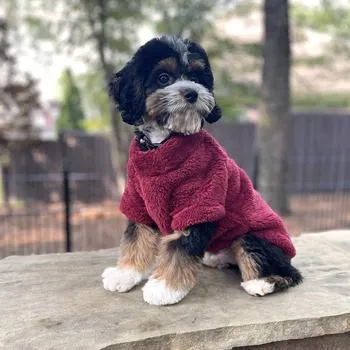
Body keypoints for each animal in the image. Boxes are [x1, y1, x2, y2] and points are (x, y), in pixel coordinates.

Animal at [100, 34, 300, 304]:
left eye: (196, 78)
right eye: (164, 77)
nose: (192, 93)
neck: (164, 143)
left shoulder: (199, 201)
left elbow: (178, 249)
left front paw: (163, 288)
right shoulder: (139, 200)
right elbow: (135, 239)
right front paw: (123, 275)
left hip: (255, 236)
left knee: (286, 271)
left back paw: (261, 282)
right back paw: (218, 258)